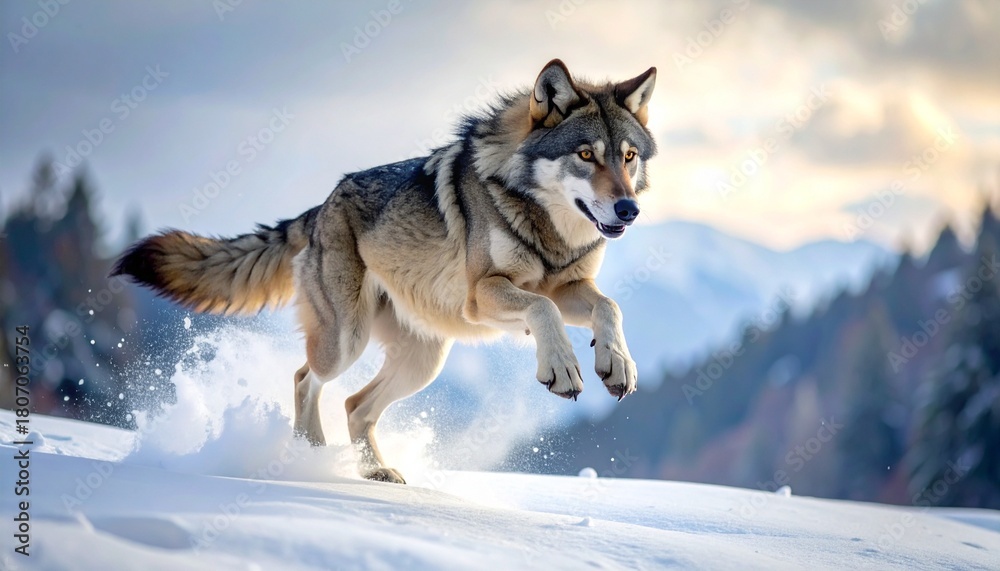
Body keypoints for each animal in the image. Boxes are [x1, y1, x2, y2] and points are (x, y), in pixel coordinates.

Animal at [113, 59, 657, 484]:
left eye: (628, 157)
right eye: (585, 155)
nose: (629, 209)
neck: (547, 228)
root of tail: (320, 207)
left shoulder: (571, 286)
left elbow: (609, 306)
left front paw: (617, 364)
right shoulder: (482, 295)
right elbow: (542, 309)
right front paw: (562, 368)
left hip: (424, 361)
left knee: (355, 406)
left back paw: (372, 470)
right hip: (346, 342)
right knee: (304, 378)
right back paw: (308, 457)